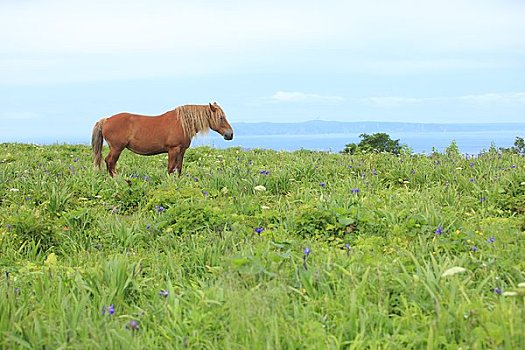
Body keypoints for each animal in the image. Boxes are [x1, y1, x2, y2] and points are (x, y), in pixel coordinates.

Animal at [91, 102, 233, 176]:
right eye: (221, 117)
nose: (230, 134)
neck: (181, 123)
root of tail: (106, 120)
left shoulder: (181, 151)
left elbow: (179, 168)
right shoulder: (173, 150)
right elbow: (170, 169)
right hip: (116, 148)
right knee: (110, 162)